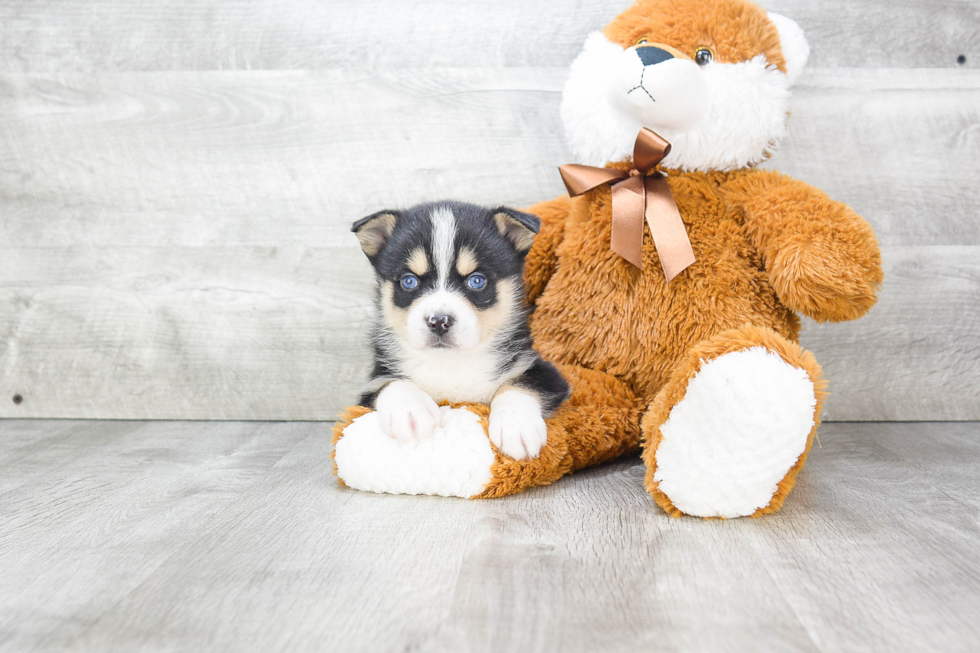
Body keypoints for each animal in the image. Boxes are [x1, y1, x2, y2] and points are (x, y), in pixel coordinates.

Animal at [352, 199, 572, 458]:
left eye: (476, 280)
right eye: (408, 281)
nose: (439, 321)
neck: (451, 362)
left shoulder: (544, 371)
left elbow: (519, 385)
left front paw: (516, 427)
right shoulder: (371, 385)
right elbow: (390, 383)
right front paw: (410, 411)